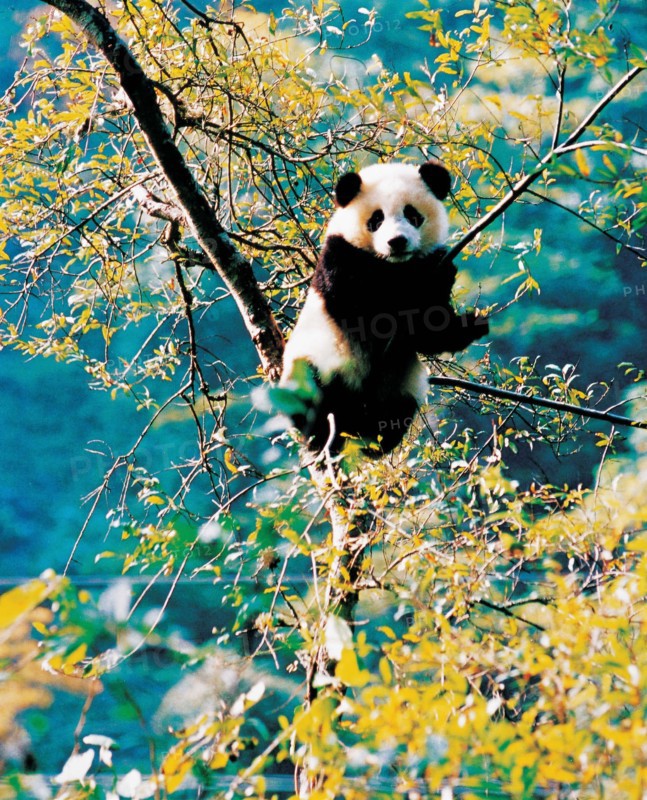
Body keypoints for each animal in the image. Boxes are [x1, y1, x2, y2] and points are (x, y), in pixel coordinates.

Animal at [280, 160, 488, 456]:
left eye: (412, 215)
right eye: (376, 220)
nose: (397, 241)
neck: (394, 265)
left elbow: (429, 332)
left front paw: (471, 322)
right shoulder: (341, 257)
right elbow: (368, 314)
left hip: (396, 390)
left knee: (393, 416)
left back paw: (374, 441)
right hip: (317, 362)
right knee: (312, 392)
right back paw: (321, 436)